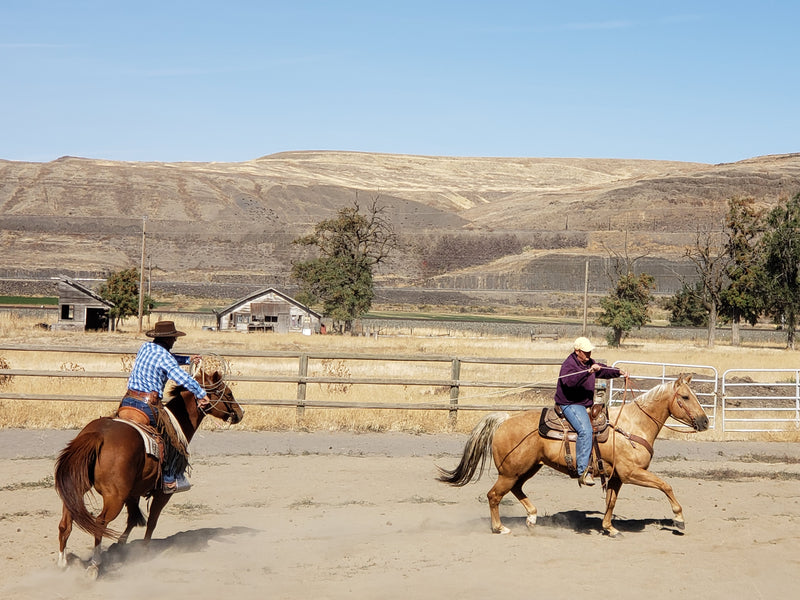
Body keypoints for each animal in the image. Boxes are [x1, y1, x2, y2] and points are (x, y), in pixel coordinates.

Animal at [54, 368, 242, 580]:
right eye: (228, 394)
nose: (240, 413)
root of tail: (98, 435)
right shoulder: (162, 494)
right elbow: (152, 521)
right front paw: (143, 551)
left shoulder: (134, 491)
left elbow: (133, 518)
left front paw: (120, 544)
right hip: (114, 498)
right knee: (99, 524)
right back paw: (94, 566)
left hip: (78, 486)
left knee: (66, 522)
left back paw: (62, 562)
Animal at [440, 372, 708, 536]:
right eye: (685, 397)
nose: (705, 421)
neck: (633, 426)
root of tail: (504, 419)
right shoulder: (632, 472)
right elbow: (666, 486)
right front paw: (679, 519)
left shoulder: (617, 476)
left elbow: (611, 501)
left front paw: (609, 528)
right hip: (510, 471)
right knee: (494, 495)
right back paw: (500, 528)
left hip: (526, 468)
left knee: (515, 489)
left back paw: (532, 518)